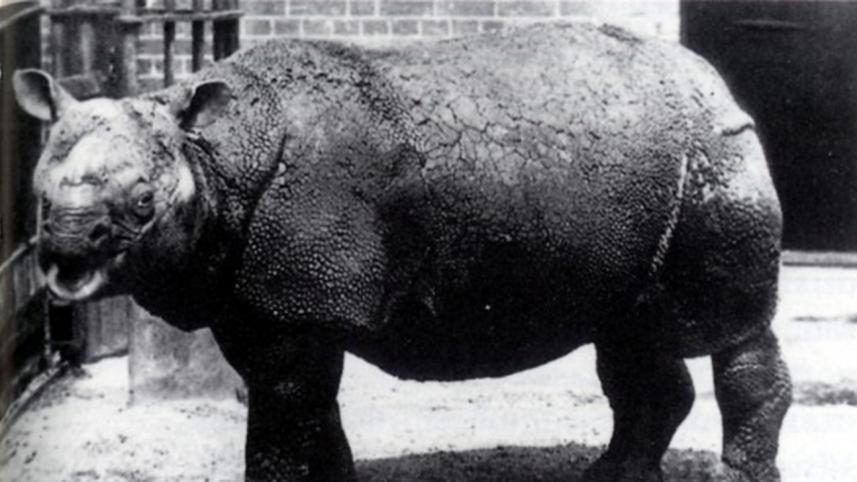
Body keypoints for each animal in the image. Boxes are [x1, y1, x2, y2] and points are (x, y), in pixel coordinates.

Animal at [14, 23, 791, 481]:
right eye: (38, 195)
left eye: (143, 204)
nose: (64, 250)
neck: (214, 156)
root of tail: (713, 80)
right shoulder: (253, 296)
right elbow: (306, 406)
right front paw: (334, 479)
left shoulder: (299, 300)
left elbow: (283, 408)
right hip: (642, 180)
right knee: (628, 329)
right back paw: (612, 478)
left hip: (714, 151)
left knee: (727, 329)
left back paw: (734, 477)